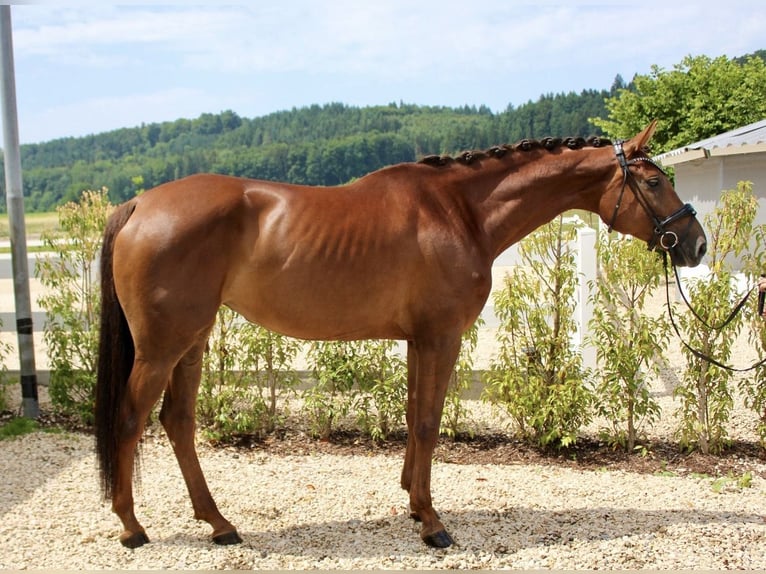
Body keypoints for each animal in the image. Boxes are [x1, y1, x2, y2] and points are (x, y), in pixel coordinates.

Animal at [95, 121, 706, 549]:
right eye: (655, 180)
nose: (696, 244)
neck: (459, 211)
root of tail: (139, 205)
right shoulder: (441, 337)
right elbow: (430, 423)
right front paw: (433, 524)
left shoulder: (417, 339)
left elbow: (414, 419)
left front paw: (414, 503)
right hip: (162, 347)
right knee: (130, 419)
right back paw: (131, 527)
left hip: (192, 340)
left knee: (177, 422)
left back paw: (219, 523)